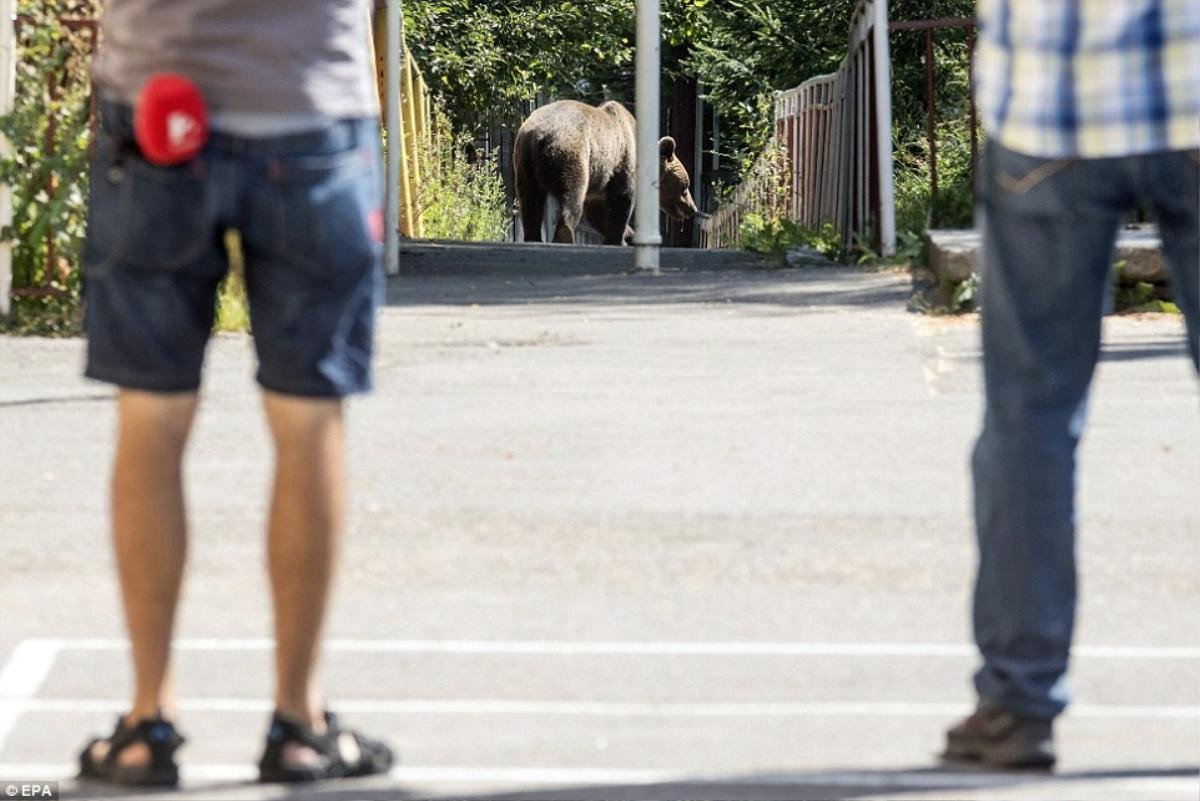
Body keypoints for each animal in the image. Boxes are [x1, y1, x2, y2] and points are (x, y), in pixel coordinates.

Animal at [511, 98, 700, 245]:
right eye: (685, 186)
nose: (693, 209)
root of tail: (540, 136)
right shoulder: (623, 162)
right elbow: (622, 200)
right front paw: (617, 239)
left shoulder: (600, 186)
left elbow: (598, 212)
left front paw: (628, 236)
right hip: (572, 154)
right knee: (571, 195)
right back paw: (565, 236)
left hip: (524, 161)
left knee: (530, 201)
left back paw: (533, 237)